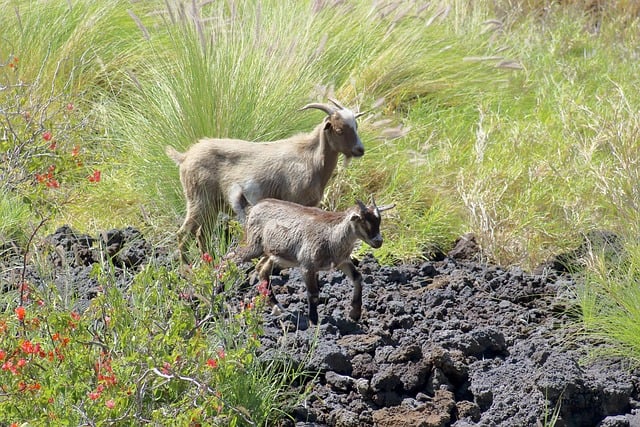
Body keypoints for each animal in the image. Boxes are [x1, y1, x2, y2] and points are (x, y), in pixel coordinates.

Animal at [166, 99, 365, 262]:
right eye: (339, 130)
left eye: (356, 126)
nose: (360, 149)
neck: (310, 157)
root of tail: (185, 157)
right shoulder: (294, 201)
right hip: (199, 201)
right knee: (183, 234)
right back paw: (187, 270)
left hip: (211, 206)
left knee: (201, 235)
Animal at [236, 197, 395, 325]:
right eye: (363, 222)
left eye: (379, 221)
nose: (378, 241)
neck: (332, 236)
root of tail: (255, 206)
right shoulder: (308, 266)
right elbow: (313, 294)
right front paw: (314, 321)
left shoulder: (342, 261)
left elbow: (357, 277)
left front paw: (355, 314)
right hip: (254, 245)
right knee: (235, 256)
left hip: (274, 254)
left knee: (262, 269)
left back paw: (277, 307)